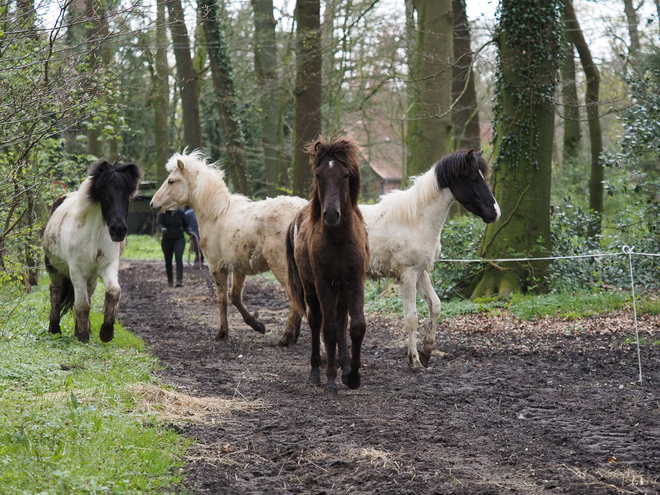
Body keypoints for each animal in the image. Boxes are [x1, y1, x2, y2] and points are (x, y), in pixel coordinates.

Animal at [42, 161, 142, 342]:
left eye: (126, 194)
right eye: (105, 193)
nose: (118, 230)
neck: (93, 236)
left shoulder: (108, 265)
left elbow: (113, 292)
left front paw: (106, 332)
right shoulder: (76, 271)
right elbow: (82, 305)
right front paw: (83, 337)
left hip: (92, 277)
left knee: (87, 293)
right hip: (54, 268)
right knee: (56, 292)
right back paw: (55, 329)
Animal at [284, 136, 372, 400]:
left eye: (345, 175)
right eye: (318, 174)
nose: (331, 214)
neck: (339, 240)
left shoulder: (355, 281)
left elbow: (356, 326)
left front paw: (352, 376)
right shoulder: (323, 283)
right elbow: (329, 329)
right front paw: (331, 381)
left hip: (341, 288)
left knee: (342, 320)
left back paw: (345, 367)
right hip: (311, 286)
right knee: (316, 321)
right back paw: (316, 373)